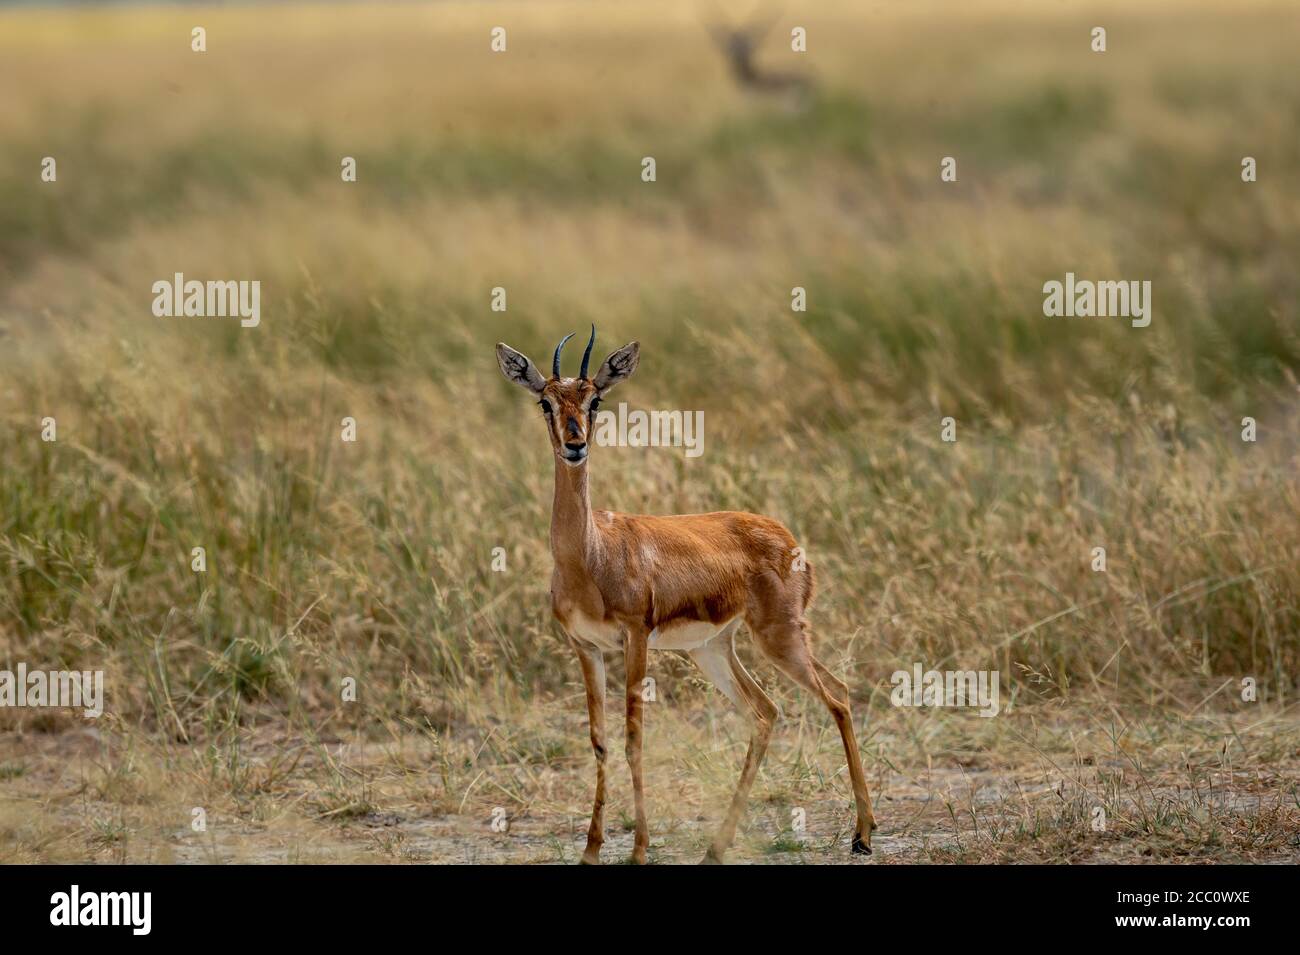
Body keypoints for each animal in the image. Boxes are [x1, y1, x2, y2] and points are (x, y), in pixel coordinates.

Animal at [495, 328, 876, 864]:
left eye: (595, 400)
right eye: (545, 401)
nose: (575, 445)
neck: (589, 554)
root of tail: (787, 537)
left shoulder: (635, 638)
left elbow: (633, 738)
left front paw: (638, 850)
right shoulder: (585, 647)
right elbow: (599, 740)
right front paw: (590, 850)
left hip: (778, 638)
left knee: (837, 697)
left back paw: (862, 835)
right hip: (715, 649)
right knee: (768, 711)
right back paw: (718, 845)